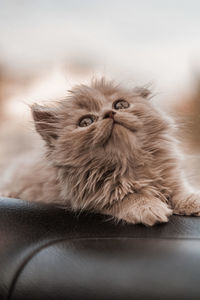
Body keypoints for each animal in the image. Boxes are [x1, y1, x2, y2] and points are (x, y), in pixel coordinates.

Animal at [0, 77, 200, 225]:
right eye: (86, 122)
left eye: (120, 105)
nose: (109, 113)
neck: (128, 163)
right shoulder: (89, 196)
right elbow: (128, 197)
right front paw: (149, 207)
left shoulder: (172, 178)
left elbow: (181, 192)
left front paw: (194, 201)